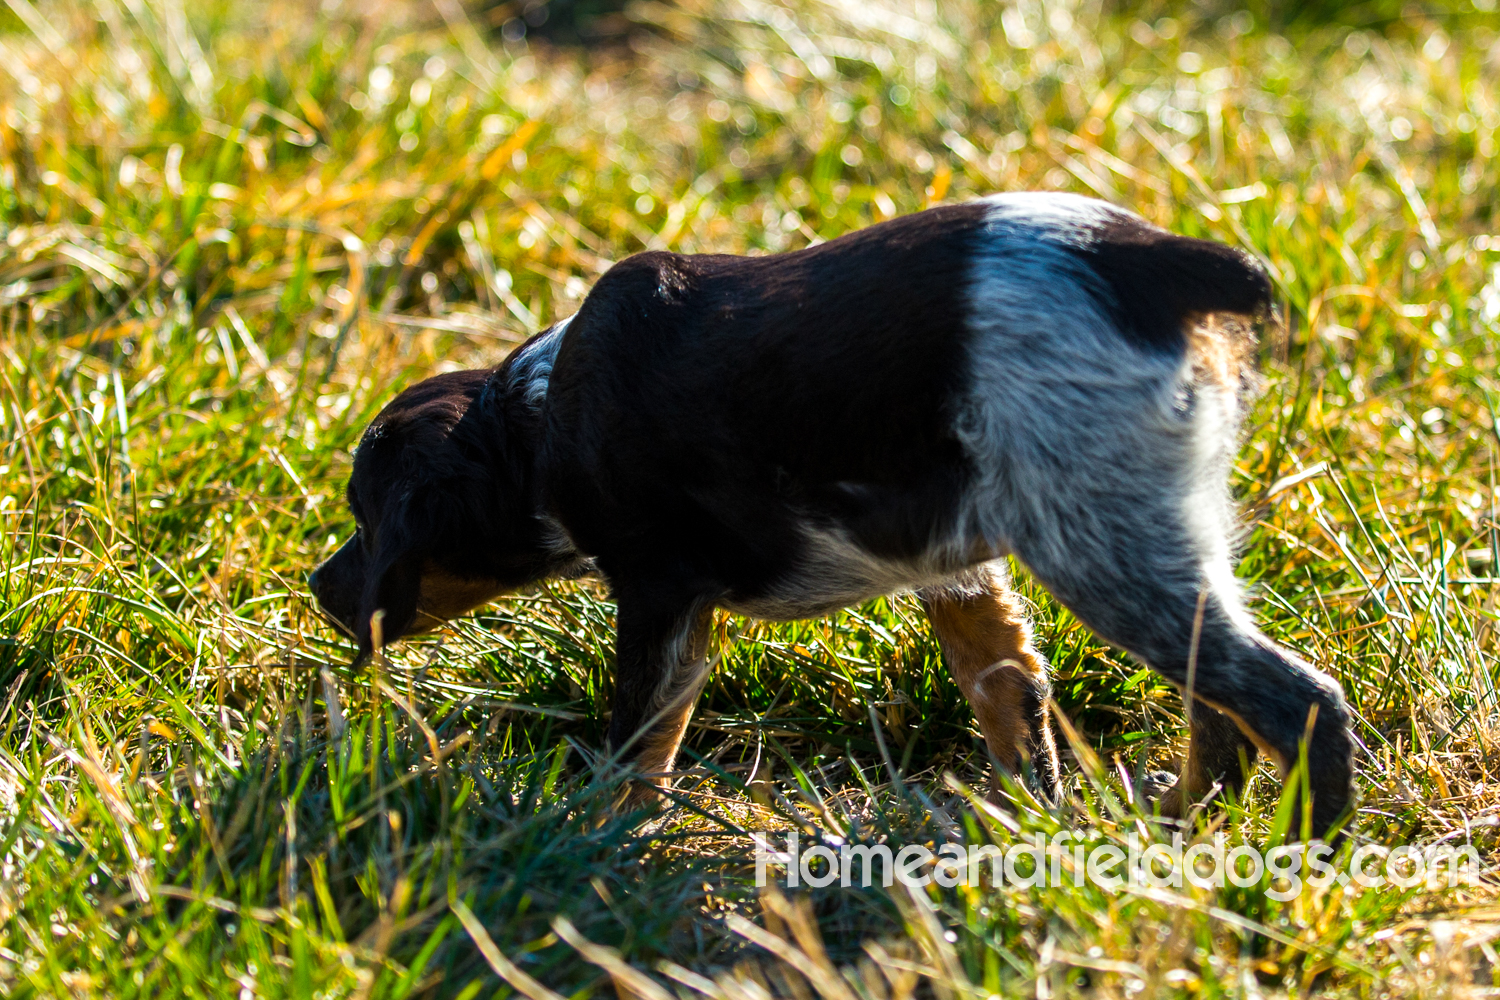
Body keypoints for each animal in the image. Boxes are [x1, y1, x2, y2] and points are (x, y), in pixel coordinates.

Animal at [310, 193, 1356, 839]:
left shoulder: (659, 595)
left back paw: (1294, 861)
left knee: (1295, 699)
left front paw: (589, 844)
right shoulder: (958, 571)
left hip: (1101, 543)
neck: (531, 419)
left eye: (366, 516)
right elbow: (1008, 688)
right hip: (1151, 532)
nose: (318, 585)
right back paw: (1180, 825)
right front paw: (1034, 815)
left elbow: (638, 742)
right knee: (1219, 698)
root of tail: (1159, 263)